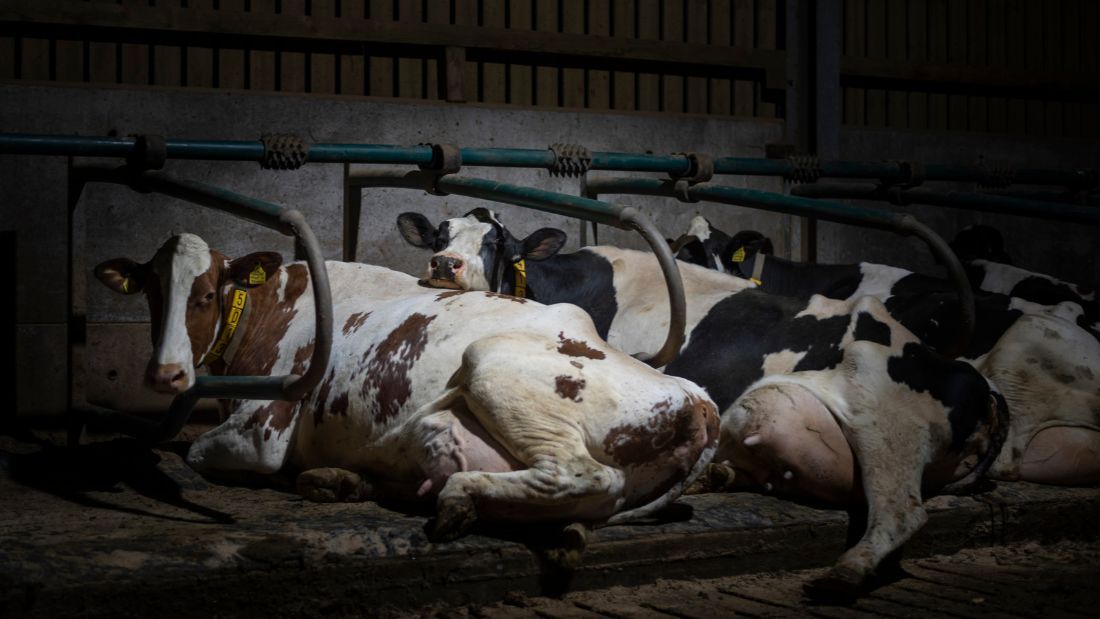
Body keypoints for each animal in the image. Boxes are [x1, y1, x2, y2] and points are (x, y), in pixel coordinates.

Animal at [96, 233, 721, 543]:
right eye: (151, 291)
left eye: (205, 294)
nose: (165, 374)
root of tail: (698, 399)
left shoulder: (262, 431)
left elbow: (199, 451)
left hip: (491, 365)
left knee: (589, 476)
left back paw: (458, 496)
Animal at [400, 209, 1007, 602]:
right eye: (440, 234)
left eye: (498, 245)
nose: (445, 264)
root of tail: (972, 377)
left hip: (885, 427)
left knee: (902, 509)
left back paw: (843, 573)